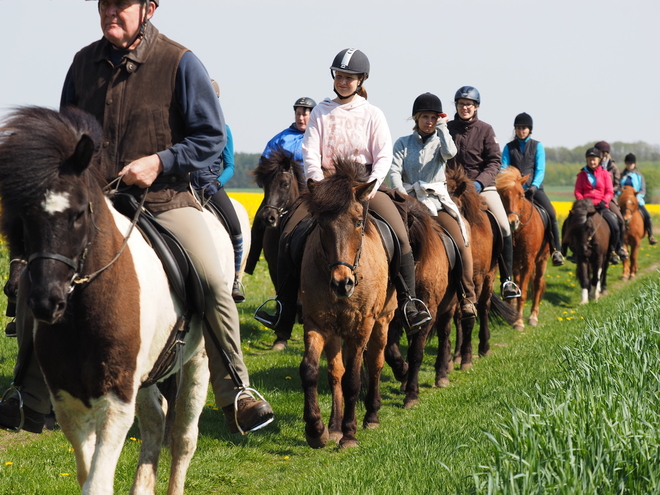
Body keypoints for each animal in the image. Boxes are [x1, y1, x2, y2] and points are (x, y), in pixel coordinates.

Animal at [0, 106, 240, 494]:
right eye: (22, 216)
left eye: (78, 212)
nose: (46, 301)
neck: (83, 314)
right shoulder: (67, 401)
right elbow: (88, 472)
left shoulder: (115, 401)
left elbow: (97, 480)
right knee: (156, 419)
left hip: (199, 360)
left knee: (184, 436)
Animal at [300, 158, 398, 450]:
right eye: (321, 224)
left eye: (357, 222)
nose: (342, 283)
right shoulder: (316, 323)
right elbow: (311, 370)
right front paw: (316, 429)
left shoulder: (362, 326)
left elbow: (353, 379)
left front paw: (350, 434)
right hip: (335, 332)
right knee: (335, 372)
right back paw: (334, 426)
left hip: (382, 322)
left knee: (375, 362)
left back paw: (371, 415)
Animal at [496, 169, 552, 332]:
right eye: (502, 195)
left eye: (521, 195)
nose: (512, 222)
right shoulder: (514, 262)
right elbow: (516, 289)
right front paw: (514, 317)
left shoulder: (528, 262)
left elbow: (524, 293)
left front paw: (519, 322)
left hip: (542, 259)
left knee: (538, 284)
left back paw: (533, 317)